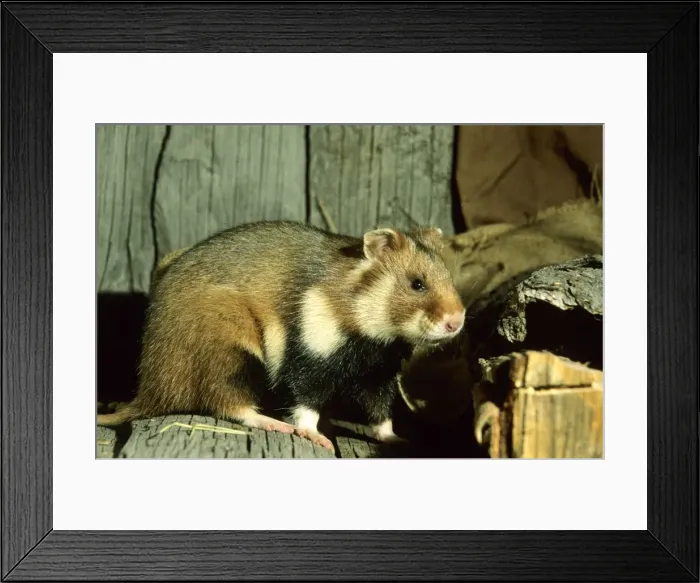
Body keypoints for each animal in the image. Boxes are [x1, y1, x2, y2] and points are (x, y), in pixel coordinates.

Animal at [97, 220, 466, 453]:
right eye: (417, 284)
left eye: (450, 278)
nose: (456, 321)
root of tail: (150, 391)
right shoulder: (311, 352)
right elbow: (305, 403)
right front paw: (315, 437)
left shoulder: (377, 373)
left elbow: (381, 414)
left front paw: (399, 440)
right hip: (230, 348)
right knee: (229, 402)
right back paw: (273, 424)